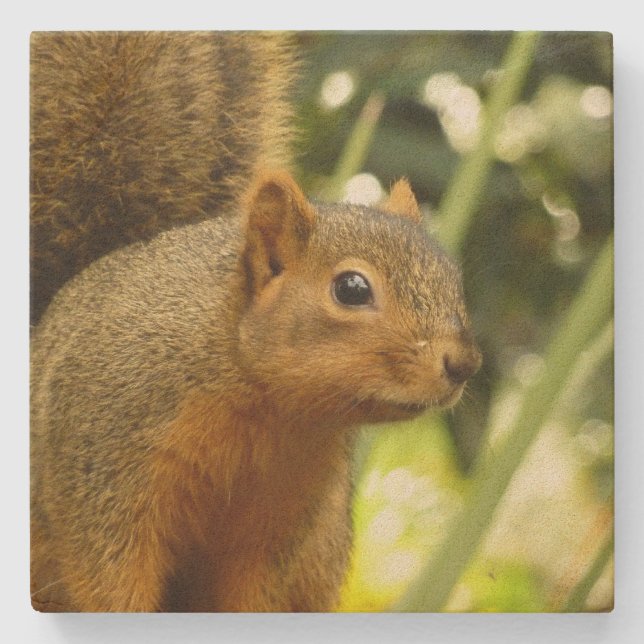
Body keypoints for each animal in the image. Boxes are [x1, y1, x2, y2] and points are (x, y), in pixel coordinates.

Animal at [30, 32, 482, 612]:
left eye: (452, 276)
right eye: (352, 289)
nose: (464, 363)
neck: (265, 408)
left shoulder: (281, 521)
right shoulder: (104, 466)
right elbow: (108, 578)